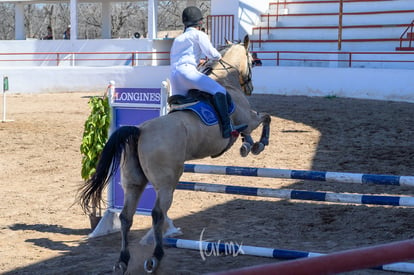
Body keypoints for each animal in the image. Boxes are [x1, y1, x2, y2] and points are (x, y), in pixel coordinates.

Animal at [77, 35, 272, 274]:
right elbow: (265, 118)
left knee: (126, 216)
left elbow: (253, 129)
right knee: (157, 214)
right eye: (252, 61)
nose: (250, 88)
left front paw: (247, 146)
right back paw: (155, 258)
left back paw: (123, 260)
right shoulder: (249, 119)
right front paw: (258, 144)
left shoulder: (246, 123)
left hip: (134, 183)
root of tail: (140, 131)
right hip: (166, 184)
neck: (226, 83)